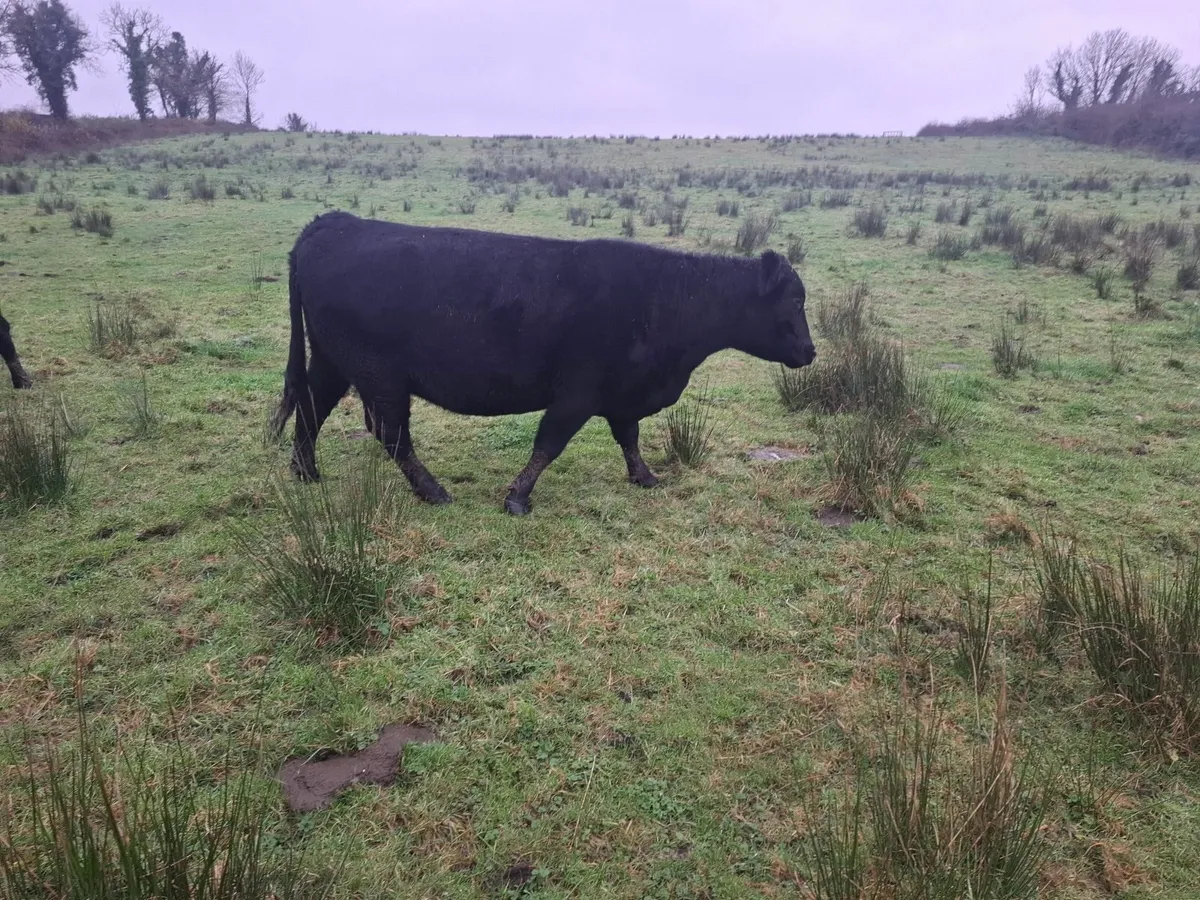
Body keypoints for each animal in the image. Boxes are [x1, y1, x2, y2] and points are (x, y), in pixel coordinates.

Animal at [269, 211, 815, 515]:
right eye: (794, 301)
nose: (810, 351)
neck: (667, 297)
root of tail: (333, 223)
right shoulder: (578, 392)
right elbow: (549, 444)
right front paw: (517, 498)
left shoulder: (620, 393)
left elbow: (629, 438)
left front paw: (645, 477)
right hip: (379, 375)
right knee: (390, 433)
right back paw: (433, 491)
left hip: (332, 361)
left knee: (312, 409)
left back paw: (305, 473)